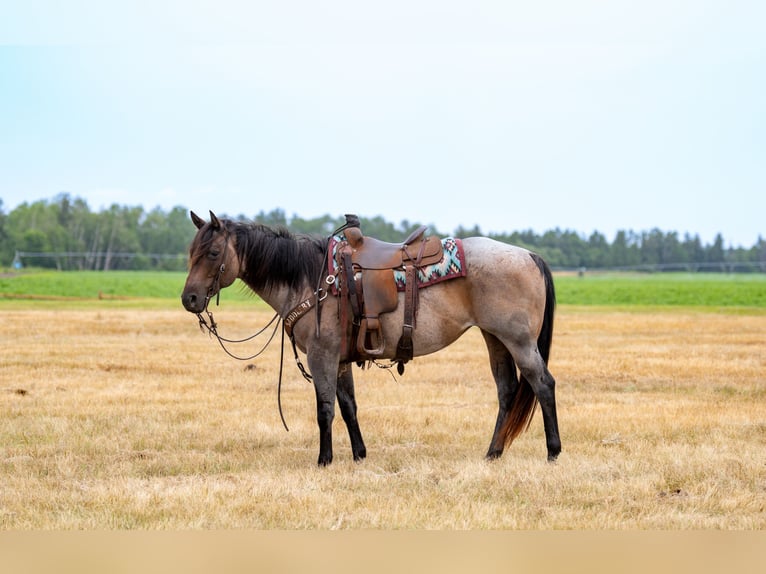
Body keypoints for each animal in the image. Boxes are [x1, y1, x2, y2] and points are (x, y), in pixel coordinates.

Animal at [181, 211, 560, 466]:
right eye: (190, 251)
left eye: (212, 253)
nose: (189, 299)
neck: (310, 278)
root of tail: (529, 255)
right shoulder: (340, 359)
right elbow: (348, 406)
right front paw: (359, 455)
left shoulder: (322, 355)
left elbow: (325, 409)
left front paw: (324, 460)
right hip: (494, 338)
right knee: (507, 390)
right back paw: (493, 453)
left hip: (519, 341)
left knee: (542, 384)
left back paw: (553, 451)